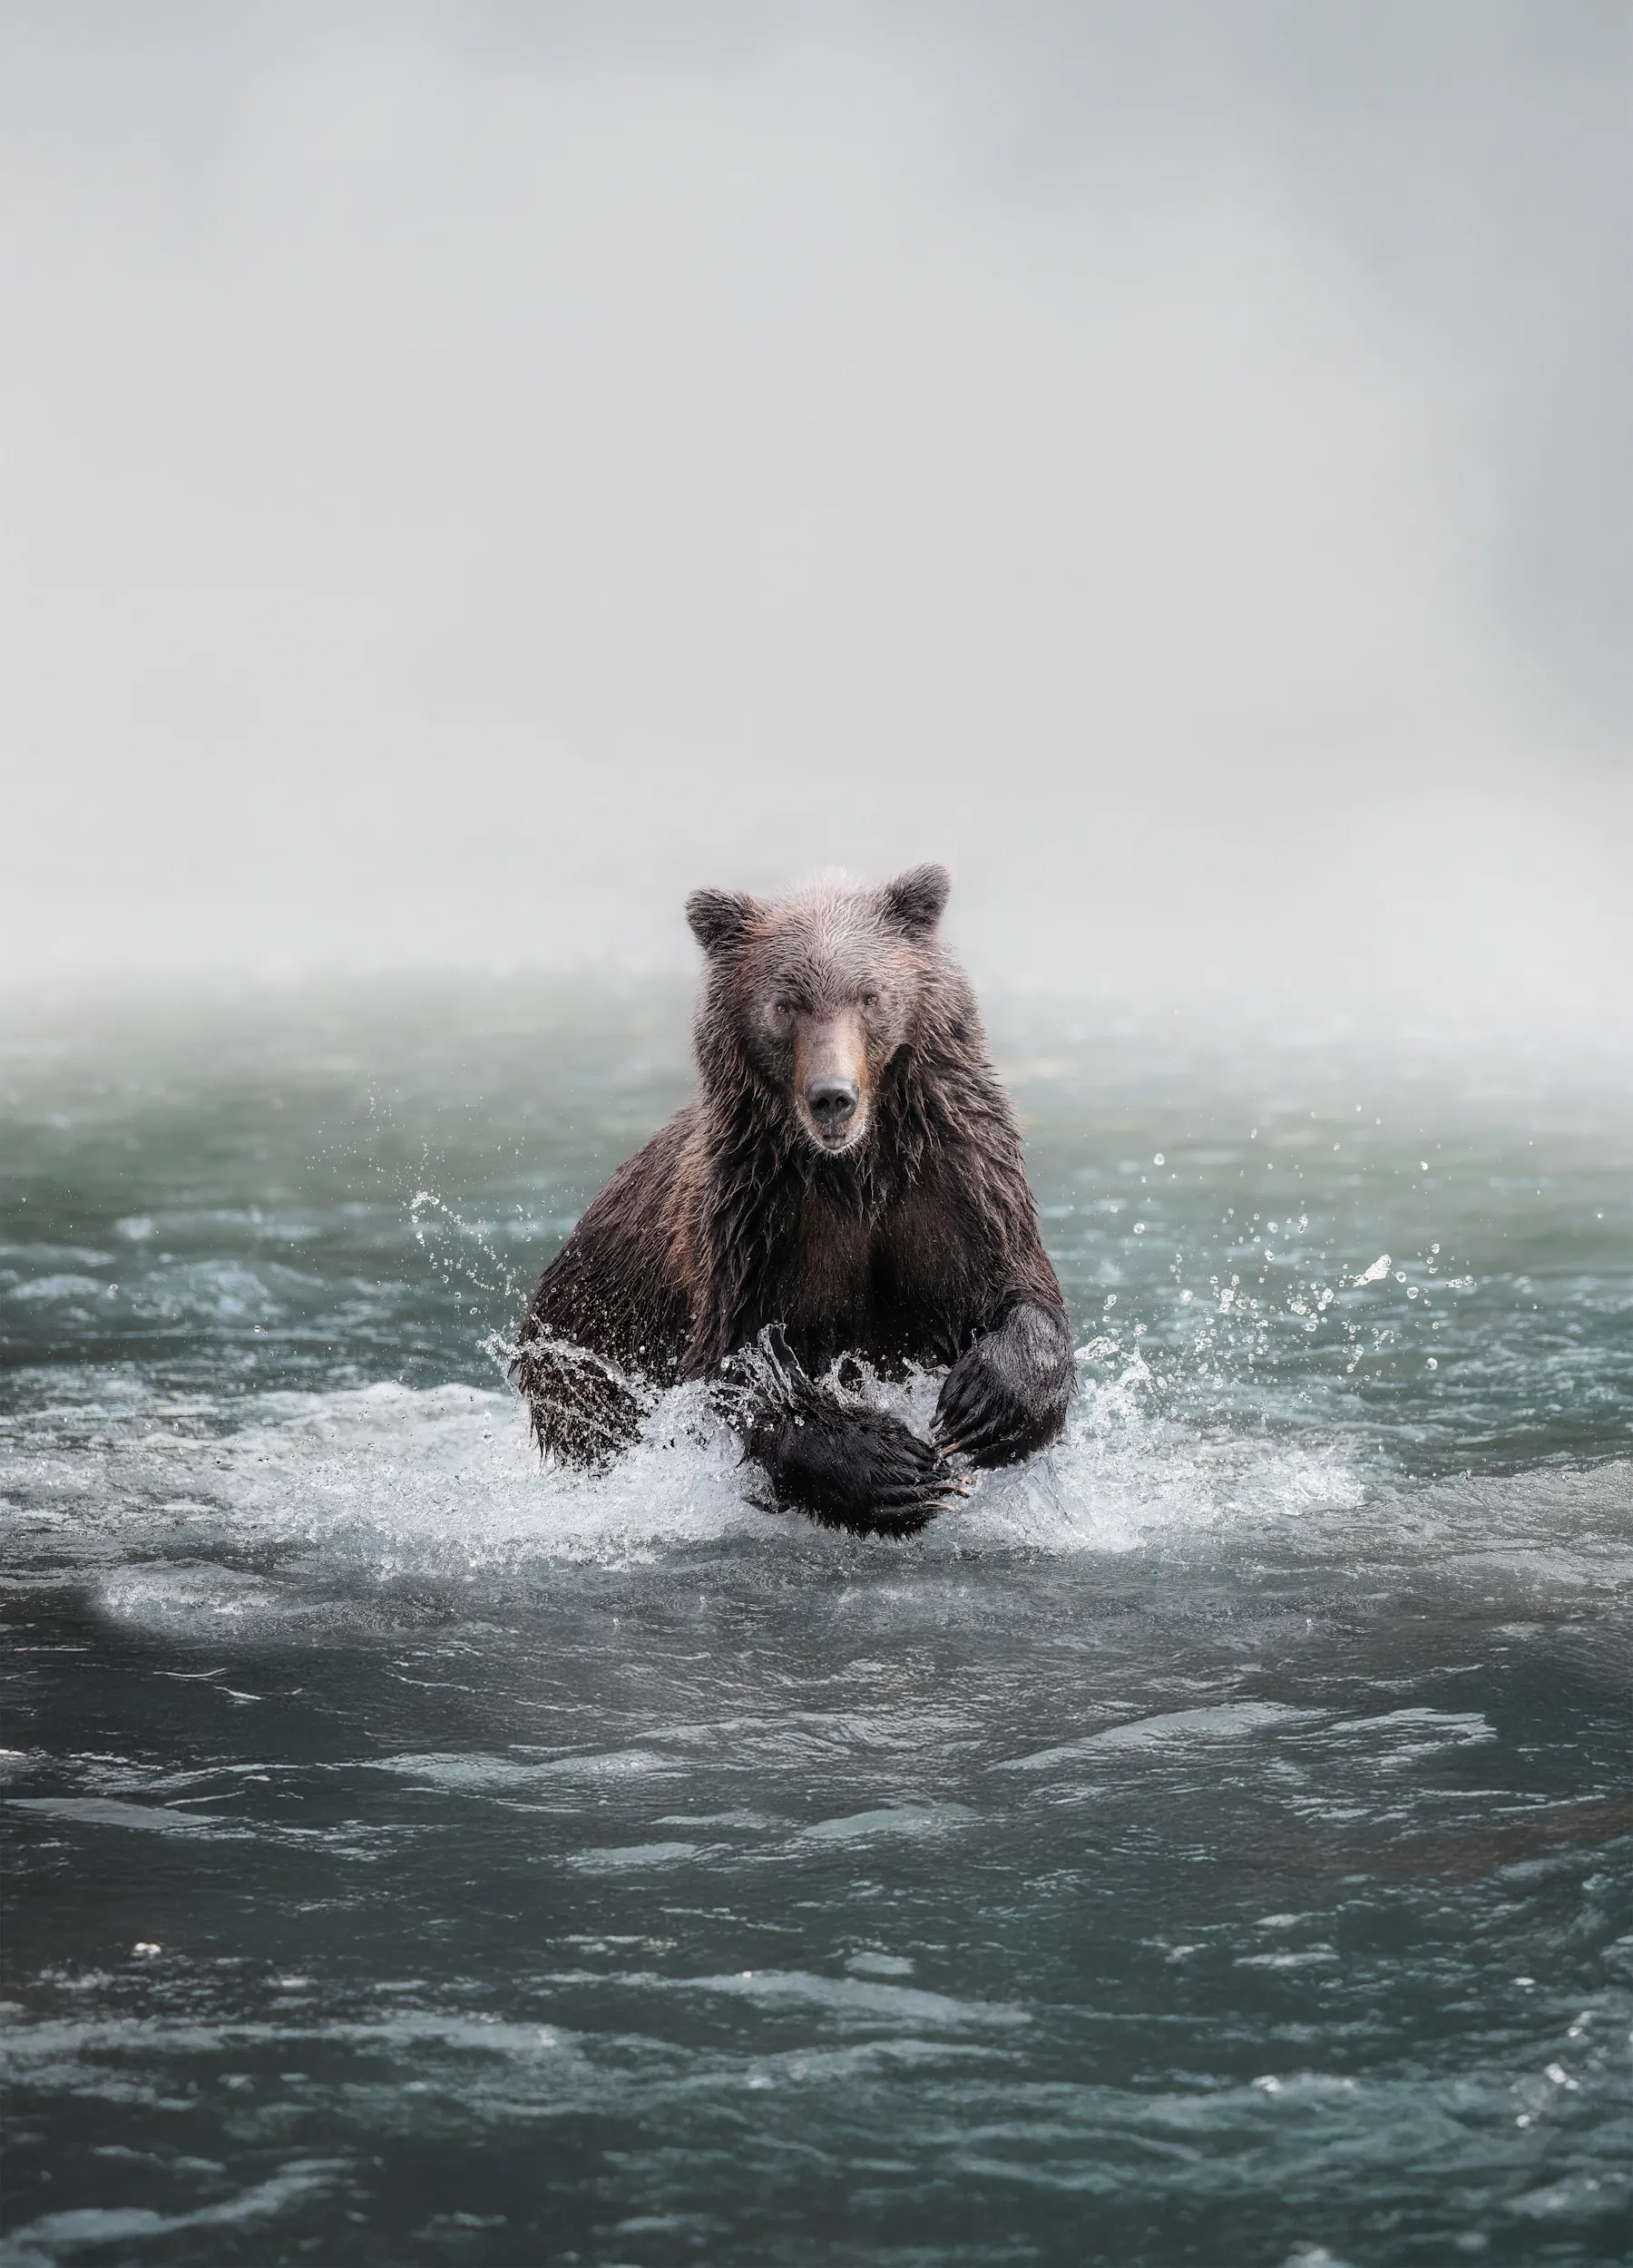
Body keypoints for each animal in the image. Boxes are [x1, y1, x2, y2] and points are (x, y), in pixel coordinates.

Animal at [511, 864, 1074, 1535]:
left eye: (869, 996)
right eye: (784, 1005)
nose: (833, 1096)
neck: (854, 1172)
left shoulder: (961, 1187)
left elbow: (1020, 1291)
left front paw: (983, 1404)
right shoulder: (756, 1228)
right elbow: (745, 1371)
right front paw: (890, 1467)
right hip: (584, 1356)